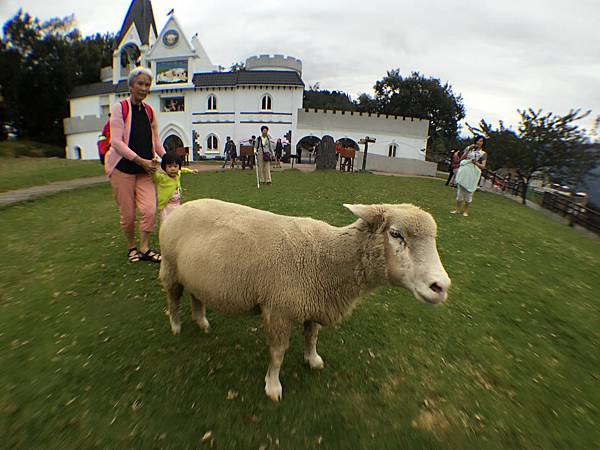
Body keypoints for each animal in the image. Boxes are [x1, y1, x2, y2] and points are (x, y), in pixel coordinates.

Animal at [159, 200, 450, 400]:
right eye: (396, 234)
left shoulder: (315, 303)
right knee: (173, 298)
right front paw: (273, 386)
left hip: (196, 274)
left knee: (197, 296)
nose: (441, 286)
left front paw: (313, 359)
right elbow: (277, 354)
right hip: (170, 267)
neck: (327, 257)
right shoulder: (277, 310)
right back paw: (175, 326)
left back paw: (201, 321)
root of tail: (181, 207)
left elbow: (312, 336)